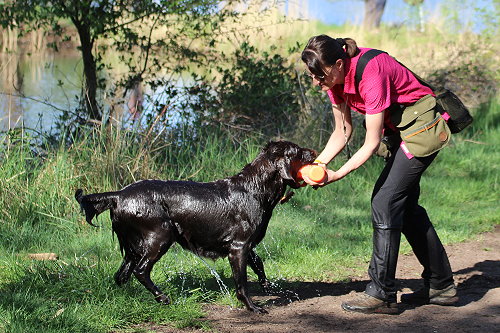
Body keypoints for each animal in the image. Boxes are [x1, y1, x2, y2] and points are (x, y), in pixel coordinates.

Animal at [74, 139, 316, 312]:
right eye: (297, 151)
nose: (314, 152)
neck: (255, 188)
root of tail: (119, 194)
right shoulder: (238, 246)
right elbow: (241, 281)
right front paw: (252, 306)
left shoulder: (245, 245)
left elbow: (258, 263)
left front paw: (267, 285)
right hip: (160, 235)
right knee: (140, 271)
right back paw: (162, 297)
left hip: (134, 245)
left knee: (122, 274)